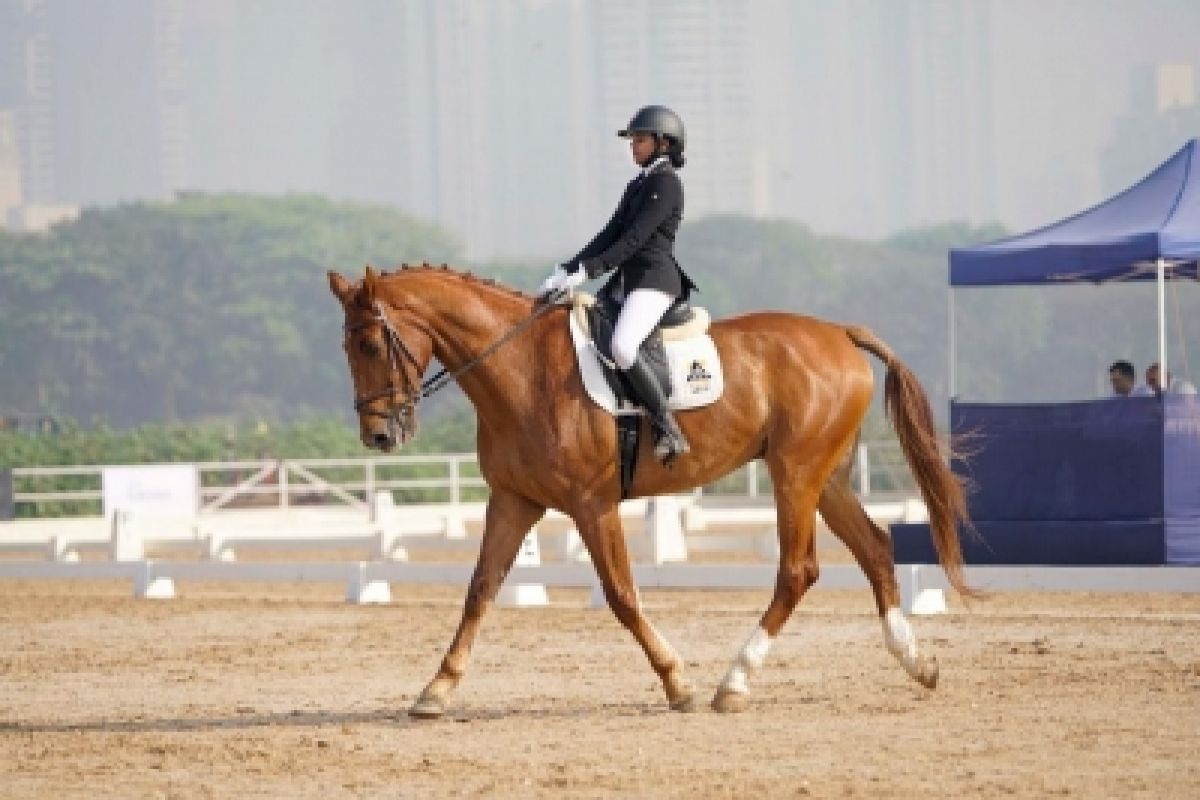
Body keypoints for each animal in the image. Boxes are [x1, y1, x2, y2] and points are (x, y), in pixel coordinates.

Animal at [328, 263, 974, 719]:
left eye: (370, 345)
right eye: (348, 348)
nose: (378, 435)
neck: (522, 370)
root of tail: (840, 333)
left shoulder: (592, 504)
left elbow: (621, 595)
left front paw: (677, 681)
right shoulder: (514, 501)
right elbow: (480, 590)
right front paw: (435, 690)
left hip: (795, 474)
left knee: (799, 570)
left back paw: (733, 683)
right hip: (827, 477)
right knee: (875, 548)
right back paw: (918, 663)